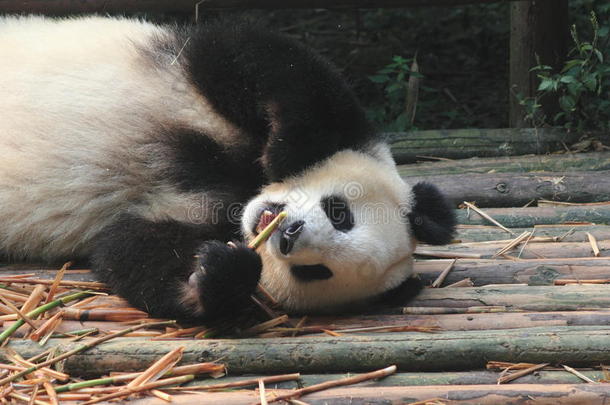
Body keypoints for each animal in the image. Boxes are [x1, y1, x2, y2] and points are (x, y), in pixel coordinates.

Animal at [0, 15, 454, 318]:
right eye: (340, 213)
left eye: (315, 271)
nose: (289, 234)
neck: (241, 189)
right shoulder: (205, 66)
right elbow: (266, 62)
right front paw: (283, 153)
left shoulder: (192, 220)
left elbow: (129, 250)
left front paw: (216, 276)